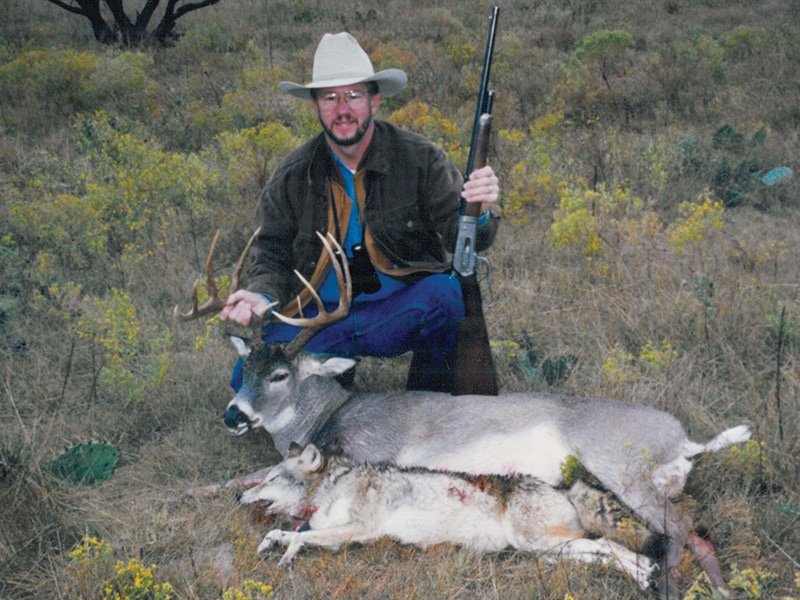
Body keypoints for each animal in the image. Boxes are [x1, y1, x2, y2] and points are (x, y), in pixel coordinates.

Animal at [176, 229, 751, 598]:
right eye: (243, 369)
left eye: (279, 375)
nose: (233, 416)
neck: (329, 415)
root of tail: (686, 443)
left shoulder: (365, 452)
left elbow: (257, 475)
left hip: (622, 468)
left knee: (684, 526)